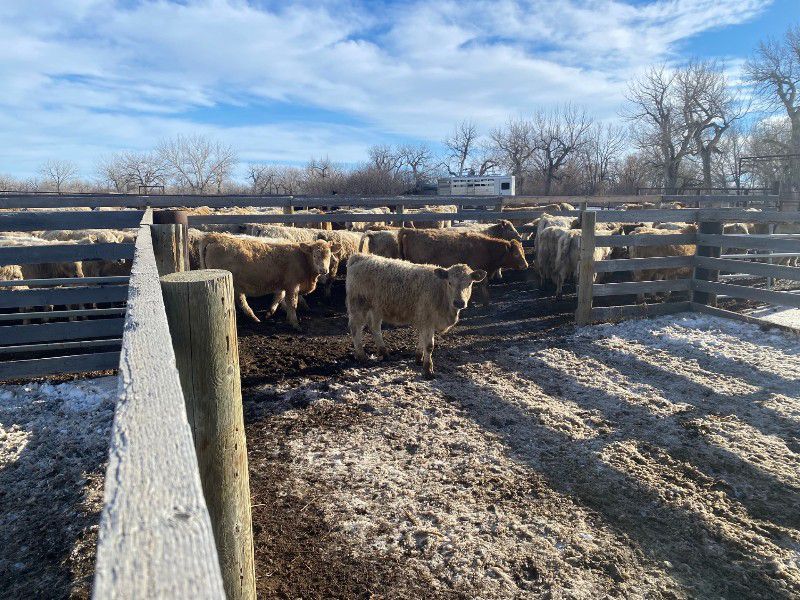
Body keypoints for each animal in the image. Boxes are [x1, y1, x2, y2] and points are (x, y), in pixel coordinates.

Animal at [345, 254, 486, 378]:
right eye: (450, 282)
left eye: (470, 283)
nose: (459, 302)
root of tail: (360, 256)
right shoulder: (427, 319)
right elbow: (429, 346)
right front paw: (428, 370)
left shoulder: (424, 320)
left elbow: (421, 340)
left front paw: (419, 359)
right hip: (358, 305)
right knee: (355, 329)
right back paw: (362, 357)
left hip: (376, 308)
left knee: (375, 328)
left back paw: (384, 353)